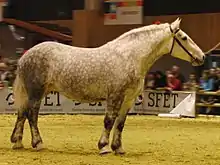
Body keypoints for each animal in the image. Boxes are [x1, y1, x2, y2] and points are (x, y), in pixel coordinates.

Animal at [11, 18, 205, 155]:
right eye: (184, 38)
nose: (202, 56)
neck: (130, 57)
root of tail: (25, 56)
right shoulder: (115, 96)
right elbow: (109, 121)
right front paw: (103, 147)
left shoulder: (128, 100)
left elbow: (120, 124)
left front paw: (118, 148)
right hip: (36, 92)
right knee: (32, 115)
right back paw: (38, 143)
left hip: (36, 92)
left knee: (22, 113)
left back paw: (18, 142)